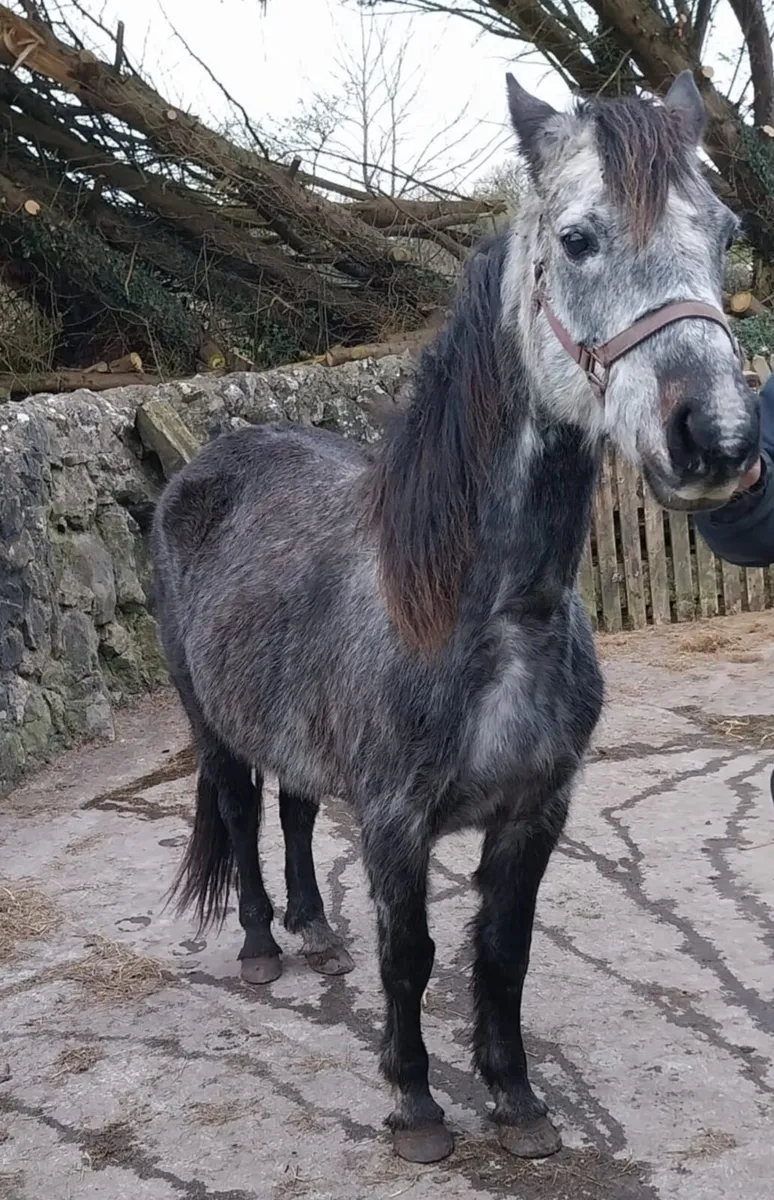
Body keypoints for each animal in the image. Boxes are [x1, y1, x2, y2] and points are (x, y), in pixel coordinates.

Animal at [151, 70, 759, 1166]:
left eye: (727, 230)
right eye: (577, 239)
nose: (719, 438)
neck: (485, 615)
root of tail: (202, 466)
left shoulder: (535, 813)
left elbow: (502, 952)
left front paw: (516, 1099)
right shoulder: (396, 821)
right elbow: (413, 953)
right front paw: (418, 1103)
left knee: (295, 808)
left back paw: (314, 929)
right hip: (211, 722)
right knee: (240, 810)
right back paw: (262, 943)